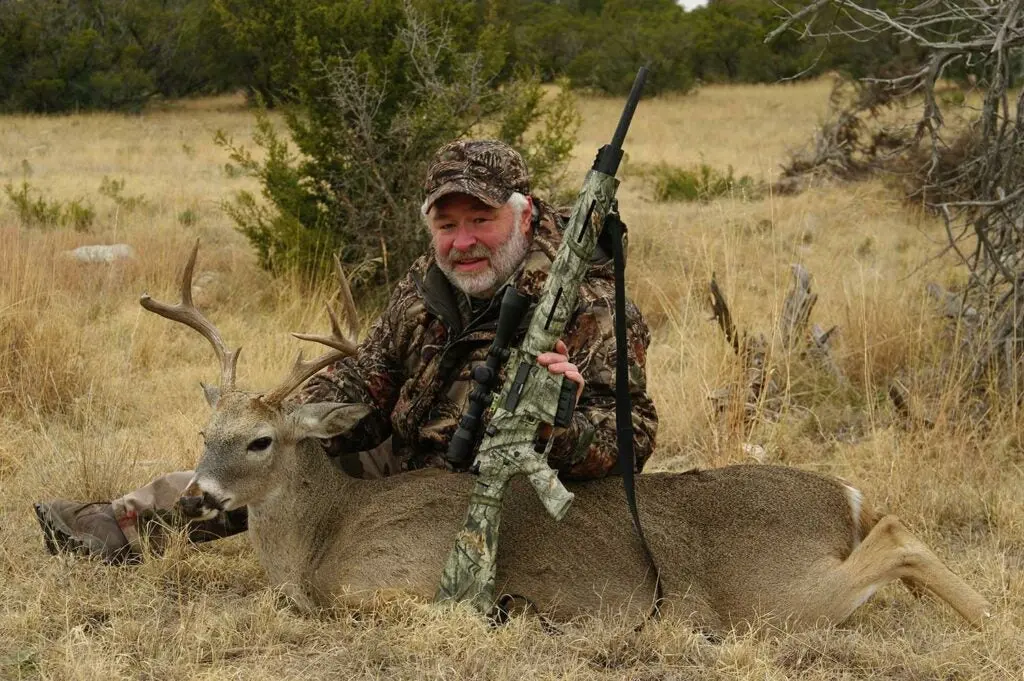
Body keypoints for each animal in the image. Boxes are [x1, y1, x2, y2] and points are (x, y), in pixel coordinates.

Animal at [140, 244, 987, 630]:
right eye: (205, 431)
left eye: (260, 441)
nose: (197, 493)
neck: (322, 538)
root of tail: (840, 496)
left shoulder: (396, 582)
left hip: (770, 594)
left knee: (901, 535)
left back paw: (988, 617)